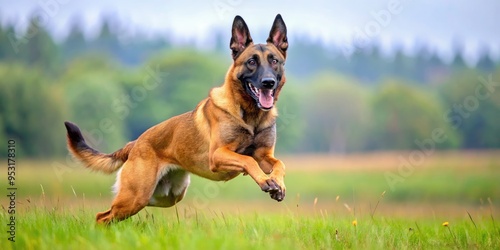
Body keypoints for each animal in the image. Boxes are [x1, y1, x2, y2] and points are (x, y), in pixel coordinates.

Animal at [63, 14, 290, 224]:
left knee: (110, 214)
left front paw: (277, 183)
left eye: (274, 61)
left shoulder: (264, 155)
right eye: (251, 62)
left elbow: (279, 163)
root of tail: (134, 143)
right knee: (102, 217)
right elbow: (247, 160)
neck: (250, 116)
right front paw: (265, 181)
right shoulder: (218, 154)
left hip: (162, 197)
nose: (268, 82)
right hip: (136, 196)